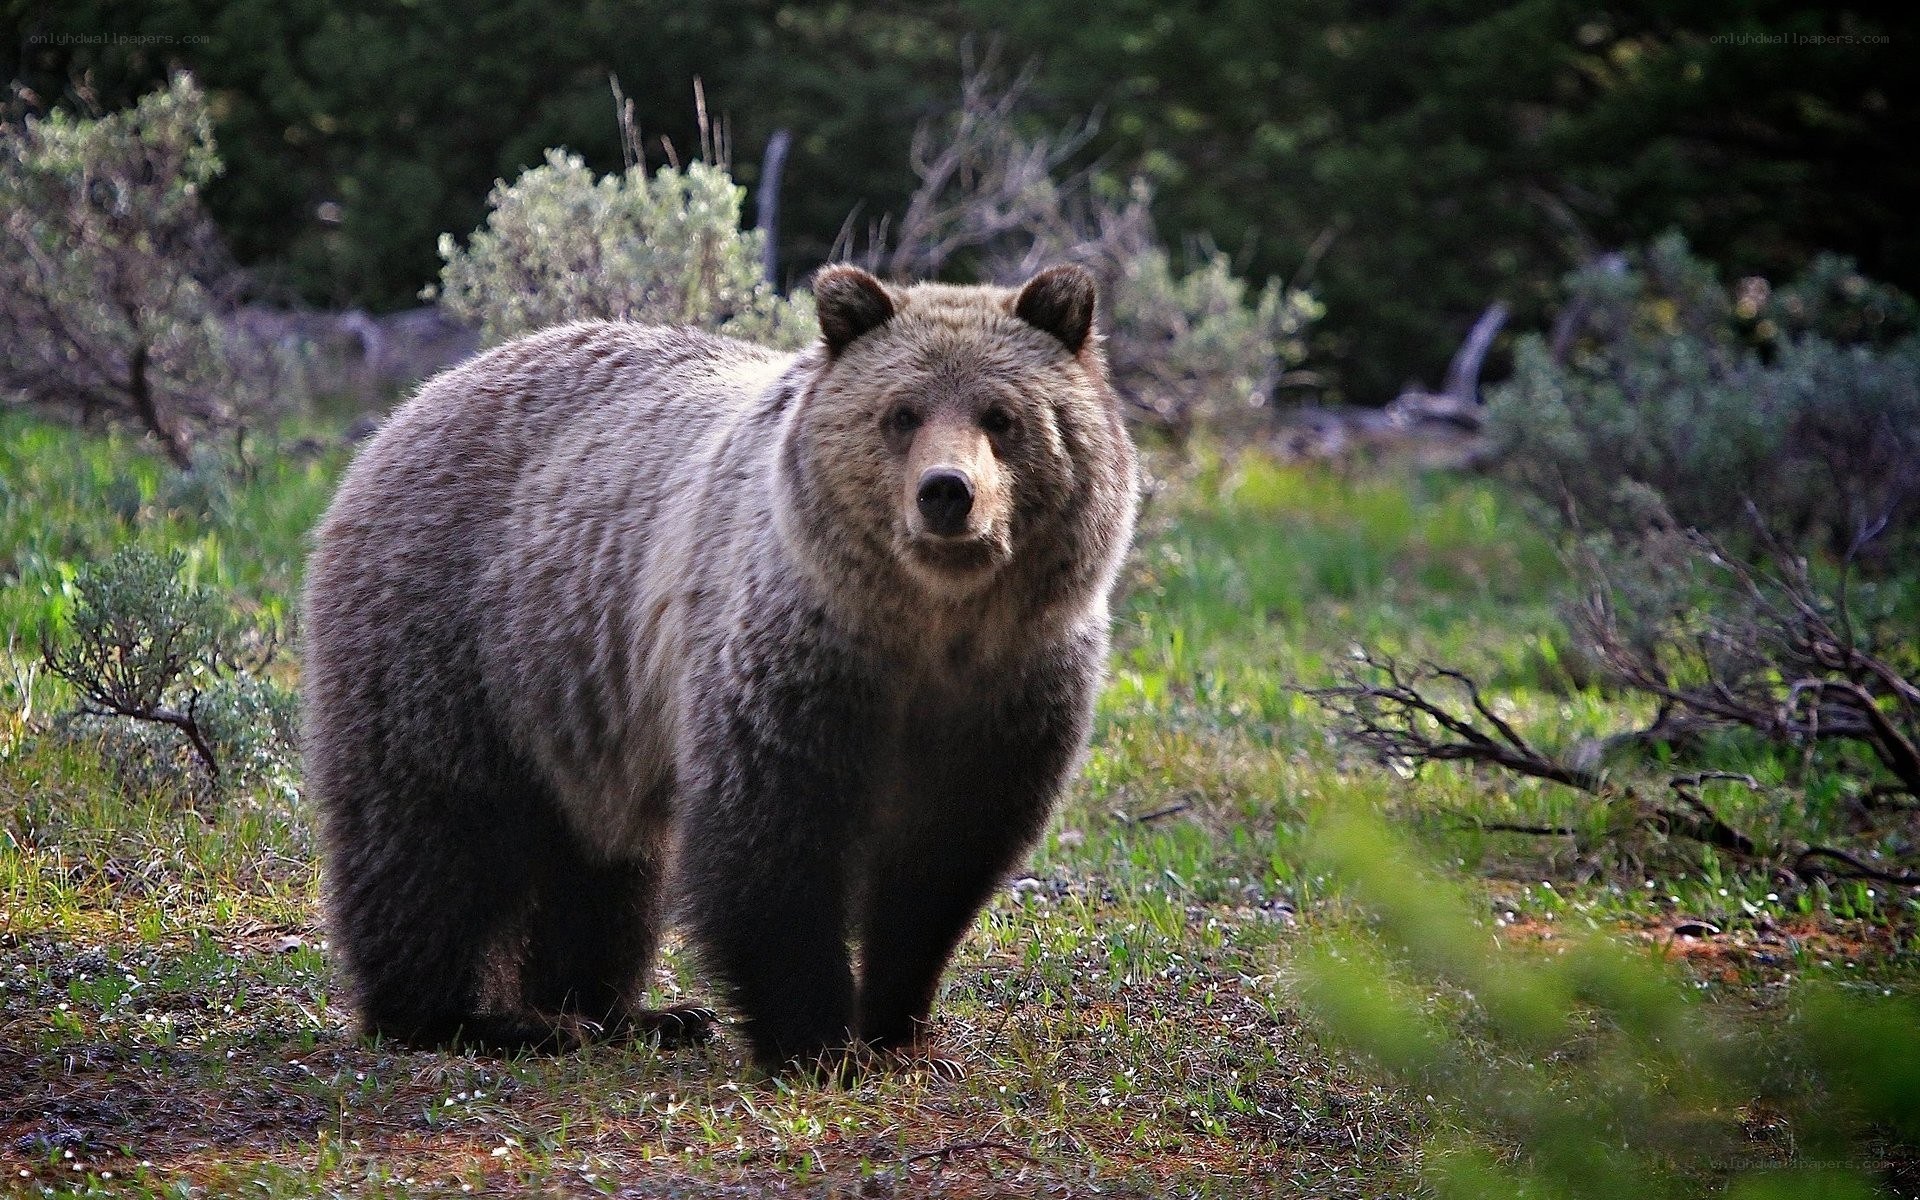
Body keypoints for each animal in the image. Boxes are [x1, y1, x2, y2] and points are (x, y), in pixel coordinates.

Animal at [300, 263, 1139, 1075]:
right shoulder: (792, 658)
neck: (928, 626)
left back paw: (626, 1013)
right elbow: (771, 841)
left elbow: (943, 864)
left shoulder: (1011, 686)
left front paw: (900, 1030)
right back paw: (476, 1018)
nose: (946, 493)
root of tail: (415, 401)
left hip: (580, 711)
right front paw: (817, 1040)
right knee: (431, 832)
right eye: (901, 413)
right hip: (456, 640)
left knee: (606, 866)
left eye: (1002, 416)